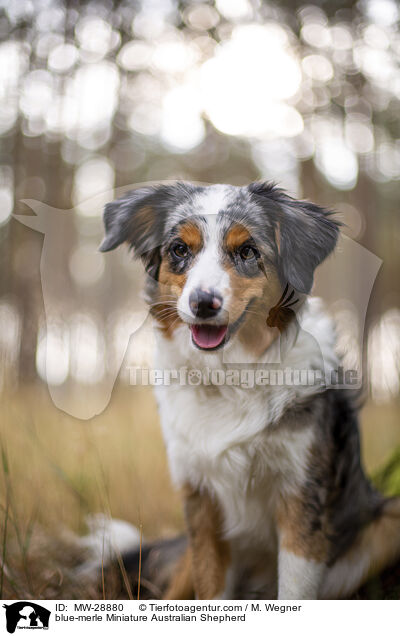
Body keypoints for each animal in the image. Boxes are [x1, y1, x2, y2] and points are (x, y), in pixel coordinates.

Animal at [99, 181, 400, 600]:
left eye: (247, 252)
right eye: (179, 250)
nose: (203, 303)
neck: (231, 377)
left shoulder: (301, 495)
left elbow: (295, 591)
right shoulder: (200, 499)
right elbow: (211, 589)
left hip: (390, 518)